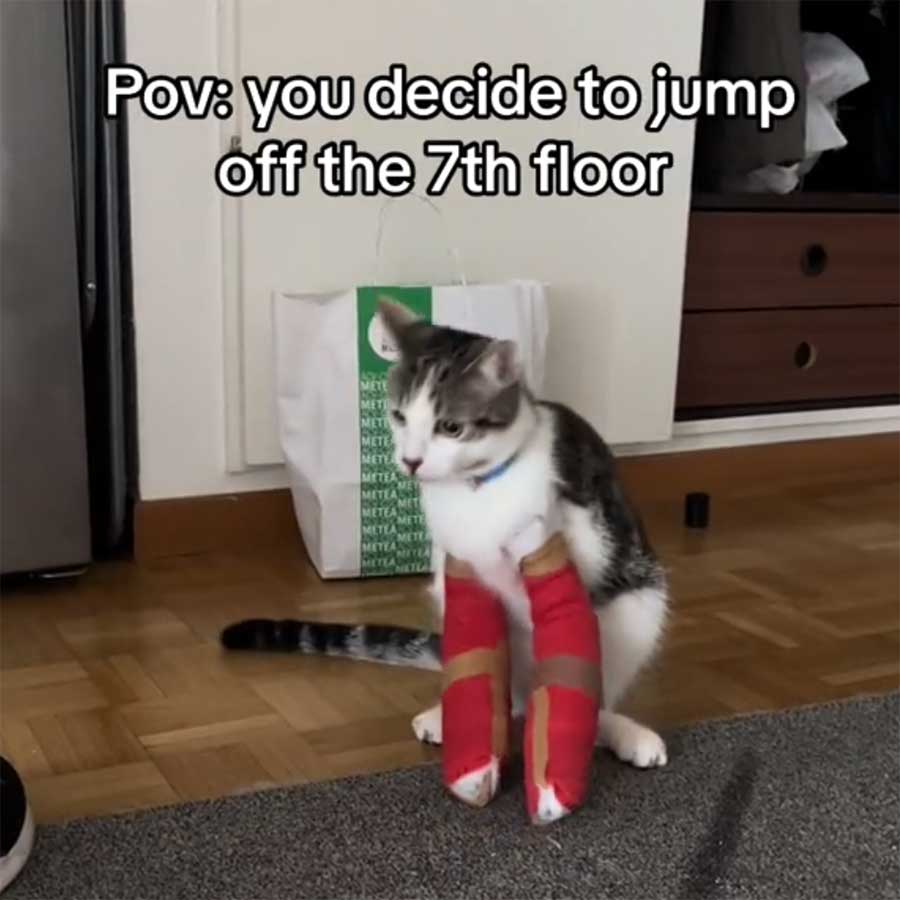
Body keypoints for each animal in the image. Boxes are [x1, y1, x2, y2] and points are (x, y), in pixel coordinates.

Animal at [222, 300, 669, 769]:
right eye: (399, 416)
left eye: (451, 428)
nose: (411, 460)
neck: (474, 492)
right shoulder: (455, 565)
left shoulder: (580, 541)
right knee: (509, 691)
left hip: (638, 609)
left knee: (591, 694)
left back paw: (621, 731)